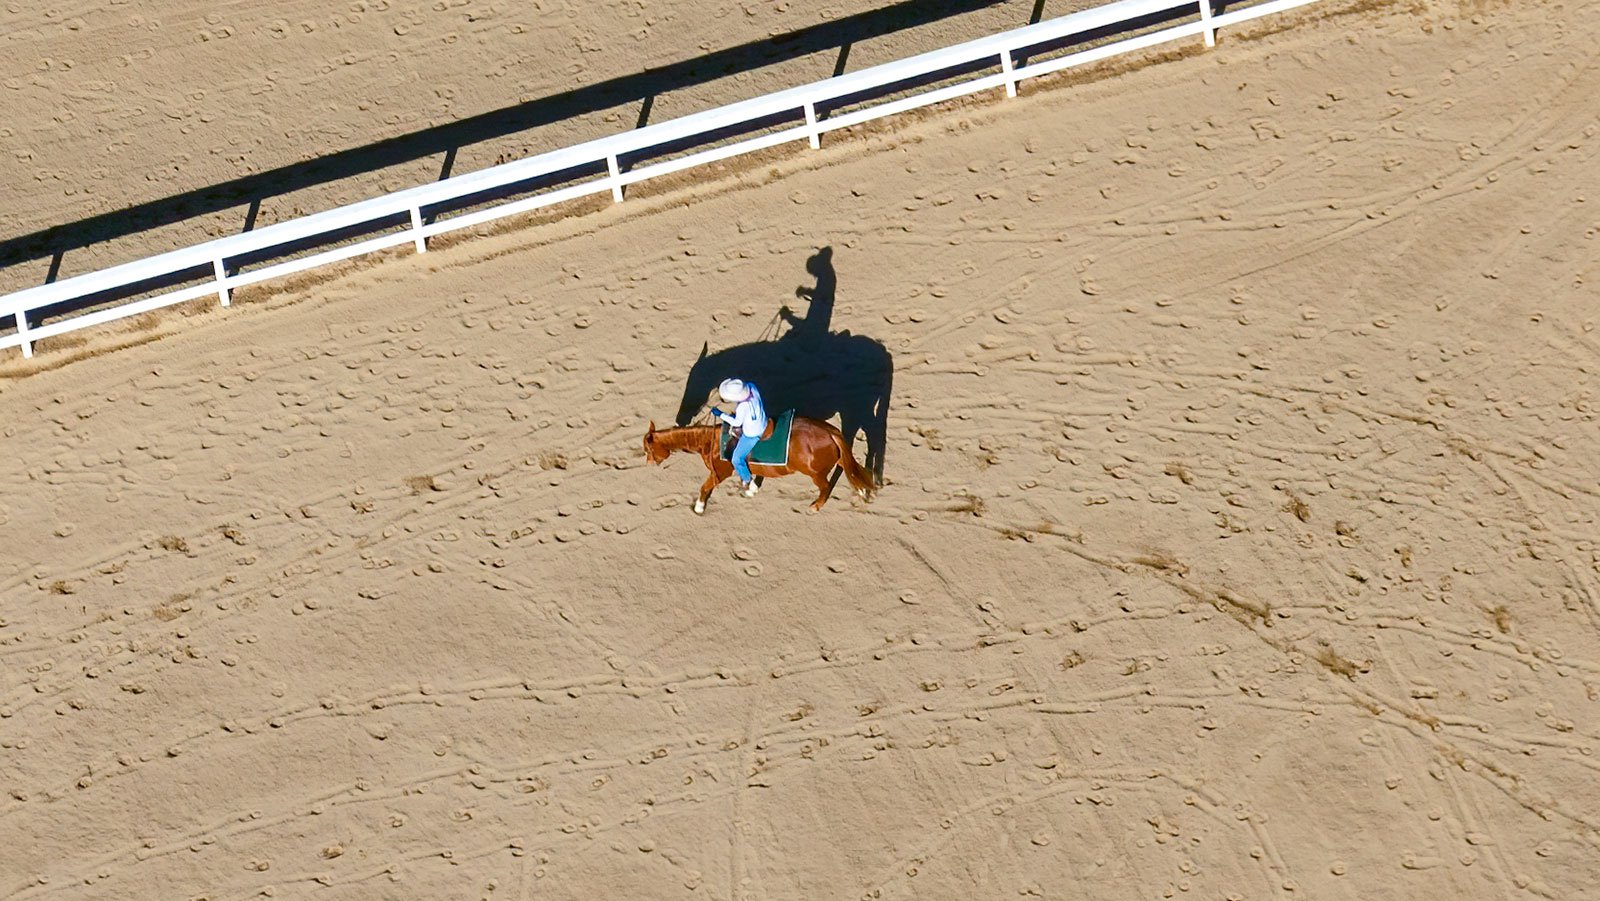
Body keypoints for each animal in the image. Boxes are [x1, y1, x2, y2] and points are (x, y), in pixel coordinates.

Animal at [643, 419, 883, 515]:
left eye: (648, 450)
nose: (649, 464)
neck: (711, 440)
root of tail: (831, 432)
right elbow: (749, 477)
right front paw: (750, 489)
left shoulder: (719, 473)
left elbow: (705, 487)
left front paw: (699, 507)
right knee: (850, 470)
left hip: (815, 474)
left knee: (826, 487)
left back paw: (815, 506)